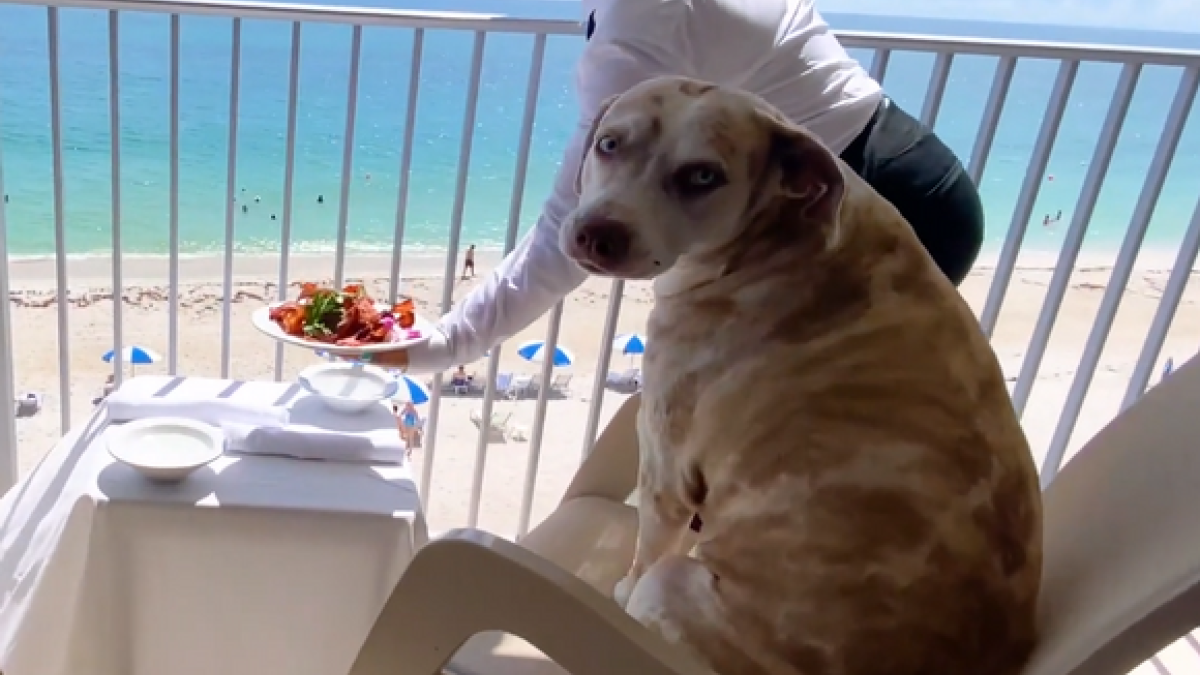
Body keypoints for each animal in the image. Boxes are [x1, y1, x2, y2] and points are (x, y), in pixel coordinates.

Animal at [559, 74, 1041, 672]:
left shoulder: (666, 472)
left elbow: (646, 551)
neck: (778, 238)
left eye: (702, 176)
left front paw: (620, 587)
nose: (595, 234)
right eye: (609, 144)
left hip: (671, 588)